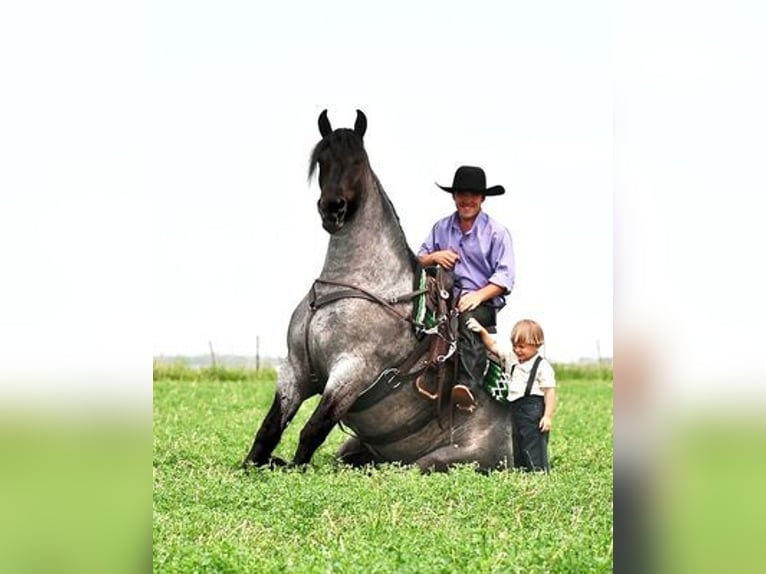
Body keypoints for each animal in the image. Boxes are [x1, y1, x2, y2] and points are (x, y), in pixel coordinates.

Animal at [242, 109, 516, 472]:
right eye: (322, 160)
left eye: (358, 161)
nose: (332, 209)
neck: (359, 282)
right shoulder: (296, 369)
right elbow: (270, 428)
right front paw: (252, 465)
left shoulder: (351, 372)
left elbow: (312, 430)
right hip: (354, 446)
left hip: (435, 461)